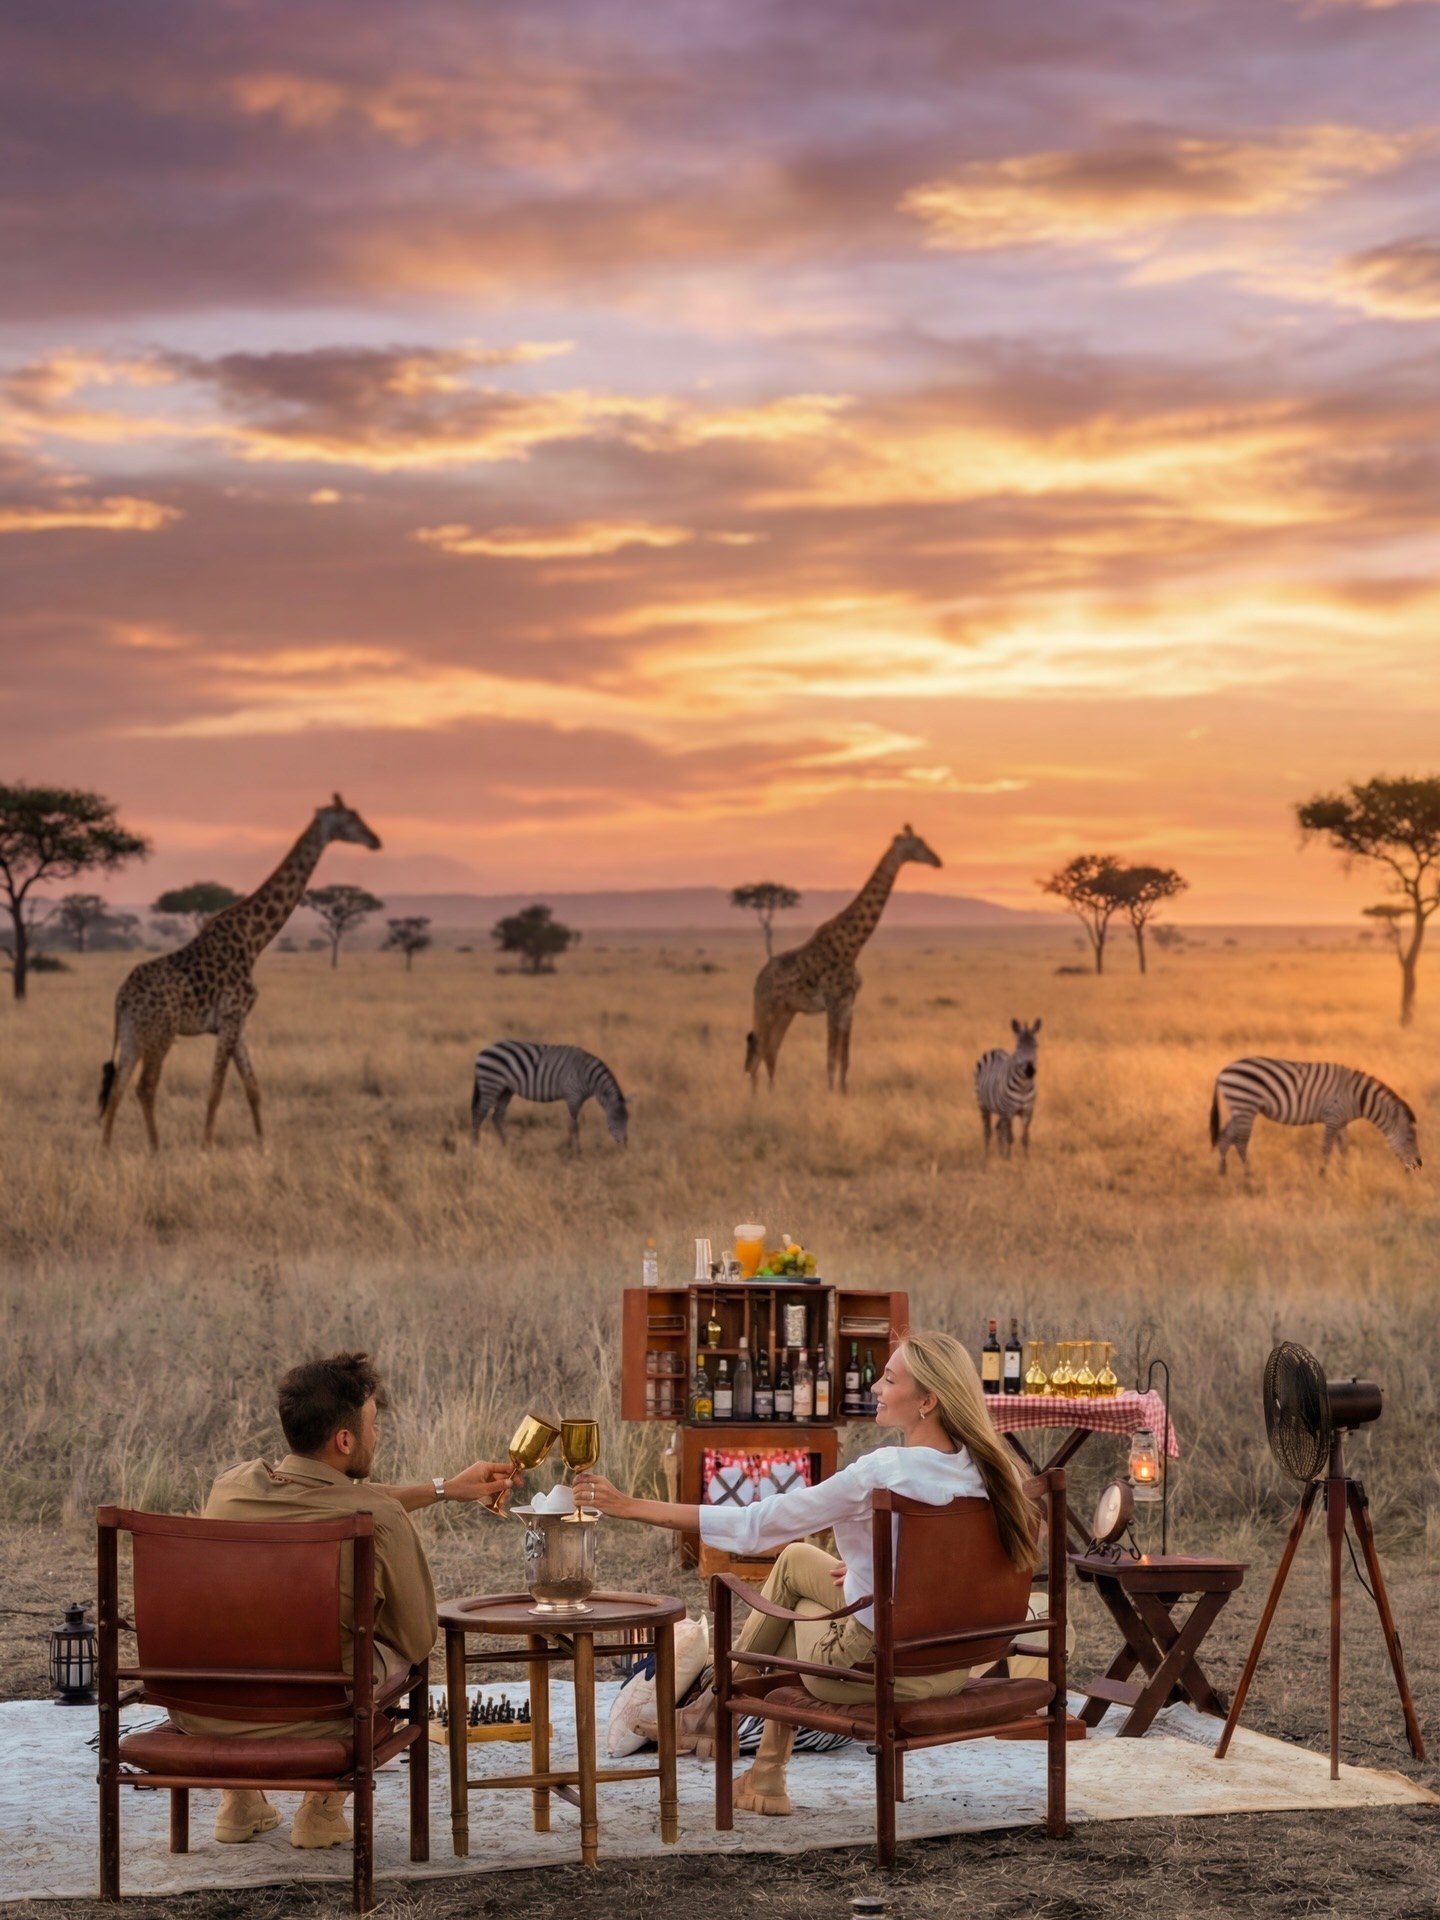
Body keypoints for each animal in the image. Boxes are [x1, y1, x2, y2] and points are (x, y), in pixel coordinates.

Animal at [99, 795, 381, 1149]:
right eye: (349, 818)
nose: (376, 841)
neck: (254, 939)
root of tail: (120, 998)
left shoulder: (238, 1024)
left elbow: (253, 1087)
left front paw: (263, 1145)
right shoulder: (231, 1016)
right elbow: (217, 1089)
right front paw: (206, 1146)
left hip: (133, 1033)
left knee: (117, 1087)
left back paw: (106, 1150)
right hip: (161, 1031)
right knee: (145, 1086)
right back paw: (155, 1149)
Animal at [471, 1041, 628, 1151]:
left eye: (627, 1120)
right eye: (614, 1119)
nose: (624, 1145)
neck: (587, 1077)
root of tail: (483, 1051)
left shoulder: (579, 1100)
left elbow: (572, 1124)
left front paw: (569, 1147)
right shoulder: (572, 1095)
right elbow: (574, 1124)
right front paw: (575, 1150)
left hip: (505, 1090)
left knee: (497, 1116)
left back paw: (507, 1145)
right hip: (491, 1083)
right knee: (479, 1113)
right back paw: (476, 1145)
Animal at [744, 824, 942, 1094]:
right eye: (918, 844)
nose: (938, 861)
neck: (853, 946)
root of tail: (757, 980)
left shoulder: (848, 1003)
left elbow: (845, 1058)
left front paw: (843, 1093)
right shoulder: (832, 1001)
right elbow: (830, 1057)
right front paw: (830, 1094)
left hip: (786, 1011)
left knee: (769, 1052)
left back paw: (770, 1095)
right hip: (768, 1007)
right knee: (758, 1053)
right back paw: (757, 1099)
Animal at [974, 1018, 1041, 1157]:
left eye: (1036, 1045)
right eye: (1018, 1047)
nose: (1030, 1071)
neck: (1023, 1087)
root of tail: (995, 1049)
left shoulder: (1028, 1111)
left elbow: (1025, 1138)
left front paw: (1026, 1159)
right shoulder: (1009, 1111)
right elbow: (1010, 1137)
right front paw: (1009, 1159)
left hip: (1000, 1110)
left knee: (999, 1129)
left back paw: (1000, 1154)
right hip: (983, 1105)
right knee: (988, 1132)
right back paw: (986, 1157)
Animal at [1210, 1057, 1421, 1176]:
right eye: (1410, 1138)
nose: (1419, 1165)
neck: (1356, 1097)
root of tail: (1222, 1071)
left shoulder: (1341, 1121)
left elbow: (1343, 1148)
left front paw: (1343, 1173)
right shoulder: (1332, 1117)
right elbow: (1327, 1148)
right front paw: (1322, 1175)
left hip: (1239, 1107)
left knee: (1225, 1137)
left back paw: (1222, 1173)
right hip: (1245, 1105)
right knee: (1240, 1142)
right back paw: (1249, 1175)